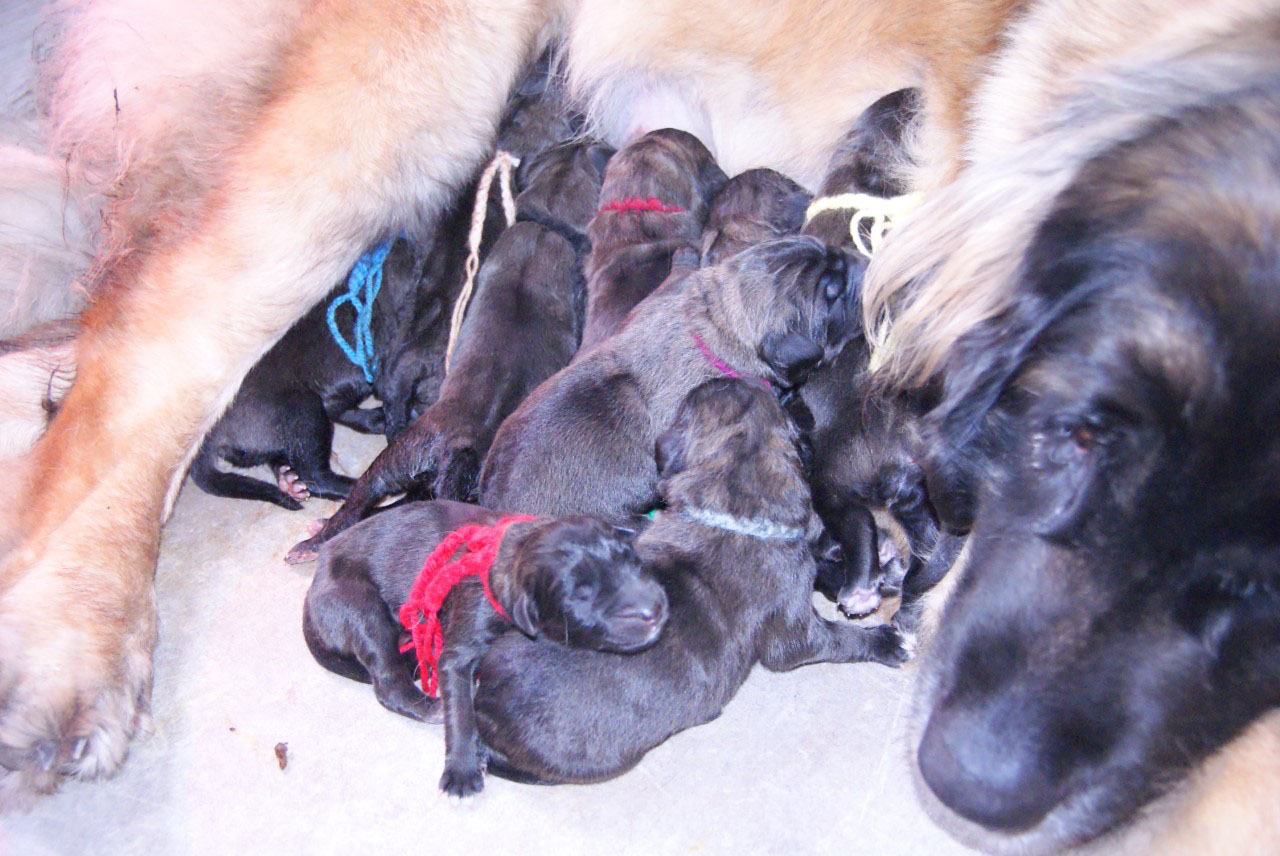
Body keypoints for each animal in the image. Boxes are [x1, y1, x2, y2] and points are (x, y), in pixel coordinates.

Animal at [302, 501, 666, 796]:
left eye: (634, 562)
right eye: (580, 596)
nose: (655, 609)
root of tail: (313, 588)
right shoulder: (463, 638)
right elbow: (461, 710)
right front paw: (461, 770)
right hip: (358, 606)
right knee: (388, 679)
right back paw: (430, 707)